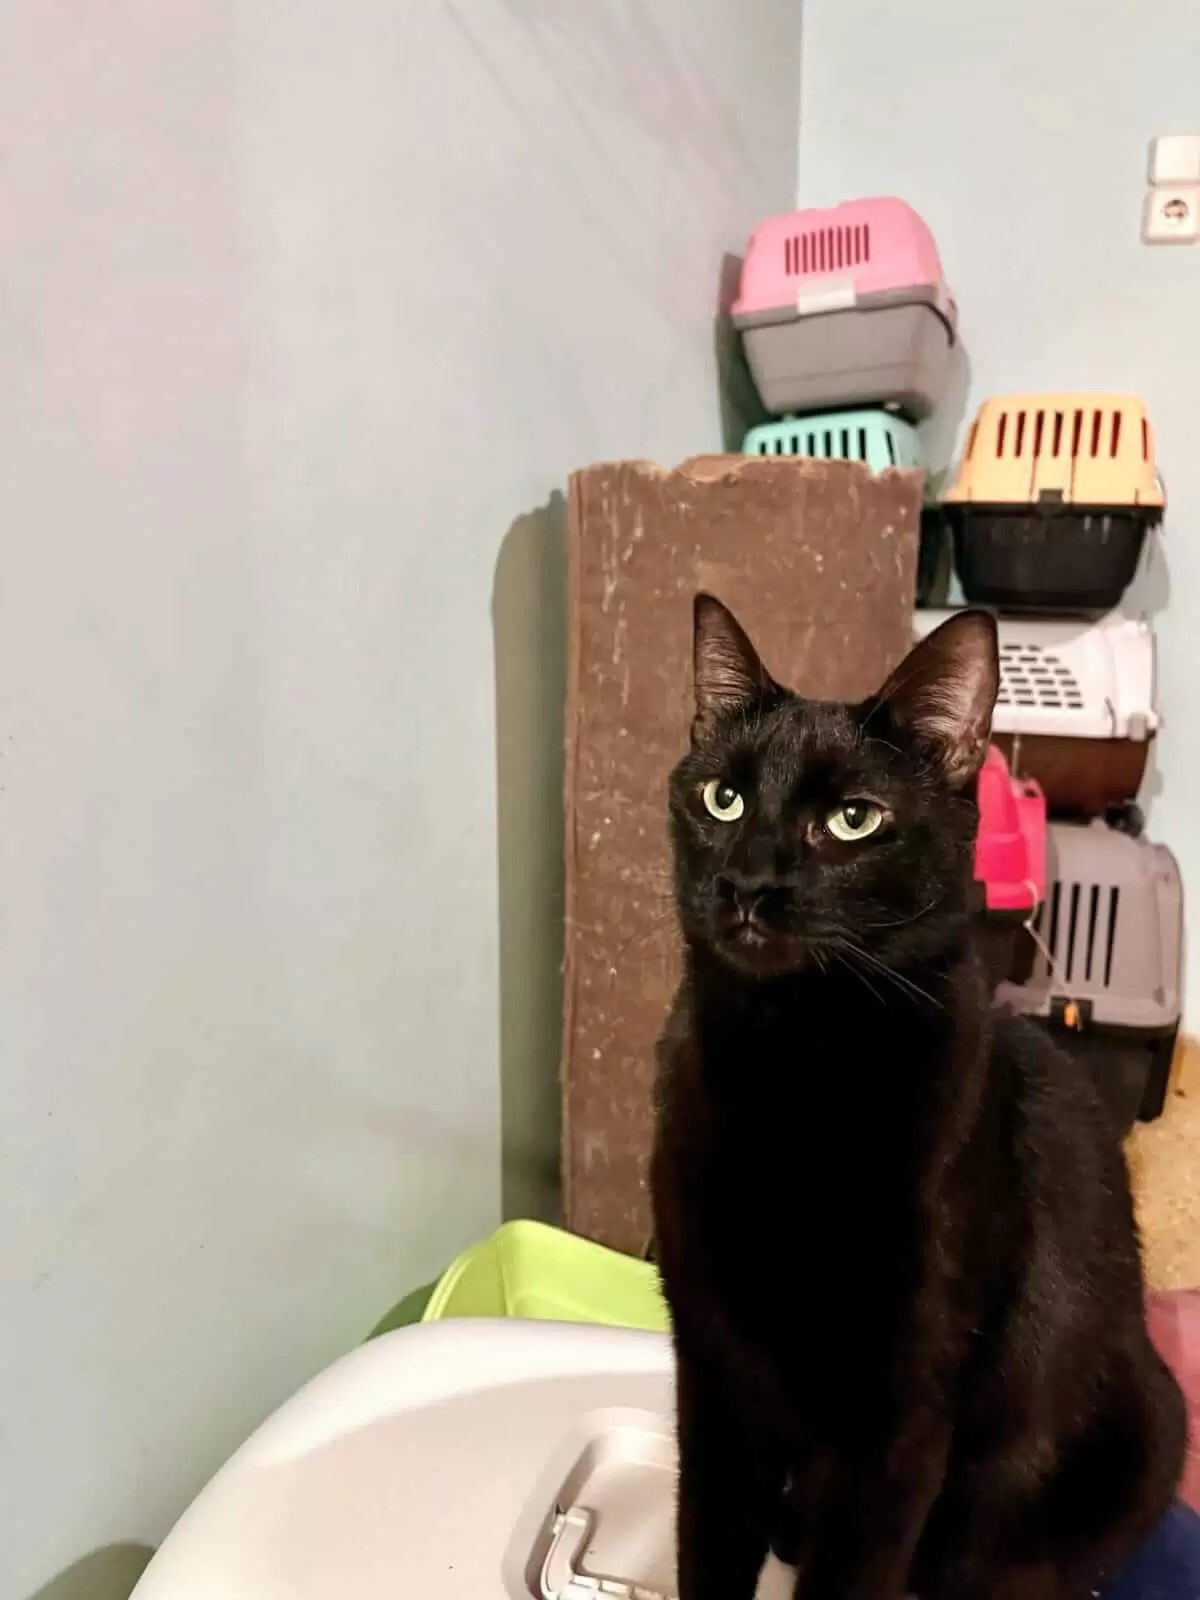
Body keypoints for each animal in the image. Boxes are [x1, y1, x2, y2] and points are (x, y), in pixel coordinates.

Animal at [650, 596, 1185, 1600]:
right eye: (721, 799)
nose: (748, 882)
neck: (790, 1063)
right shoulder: (711, 1369)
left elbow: (851, 1572)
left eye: (854, 820)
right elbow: (708, 1545)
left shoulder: (896, 1420)